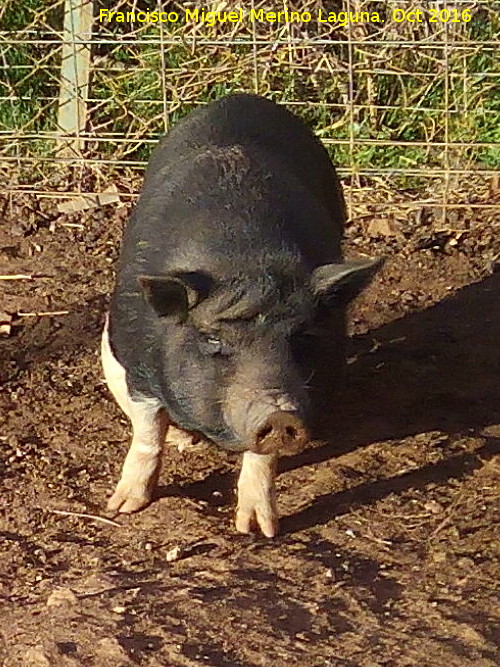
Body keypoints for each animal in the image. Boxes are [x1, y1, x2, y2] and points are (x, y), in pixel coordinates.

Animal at [102, 92, 382, 536]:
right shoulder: (134, 361)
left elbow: (262, 458)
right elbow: (148, 432)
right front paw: (123, 507)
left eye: (303, 336)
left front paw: (257, 529)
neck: (245, 263)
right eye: (213, 339)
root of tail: (240, 98)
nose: (279, 413)